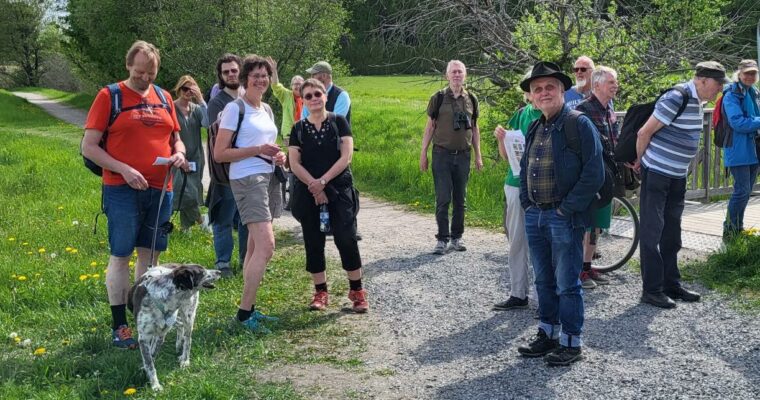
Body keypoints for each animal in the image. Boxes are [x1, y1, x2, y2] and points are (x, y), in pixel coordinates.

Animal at [126, 262, 221, 390]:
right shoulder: (145, 337)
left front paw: (154, 385)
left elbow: (152, 356)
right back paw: (178, 343)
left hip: (188, 315)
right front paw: (153, 382)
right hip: (174, 320)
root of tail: (177, 263)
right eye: (202, 272)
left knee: (188, 339)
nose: (219, 272)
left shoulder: (161, 334)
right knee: (180, 326)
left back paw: (185, 359)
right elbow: (149, 361)